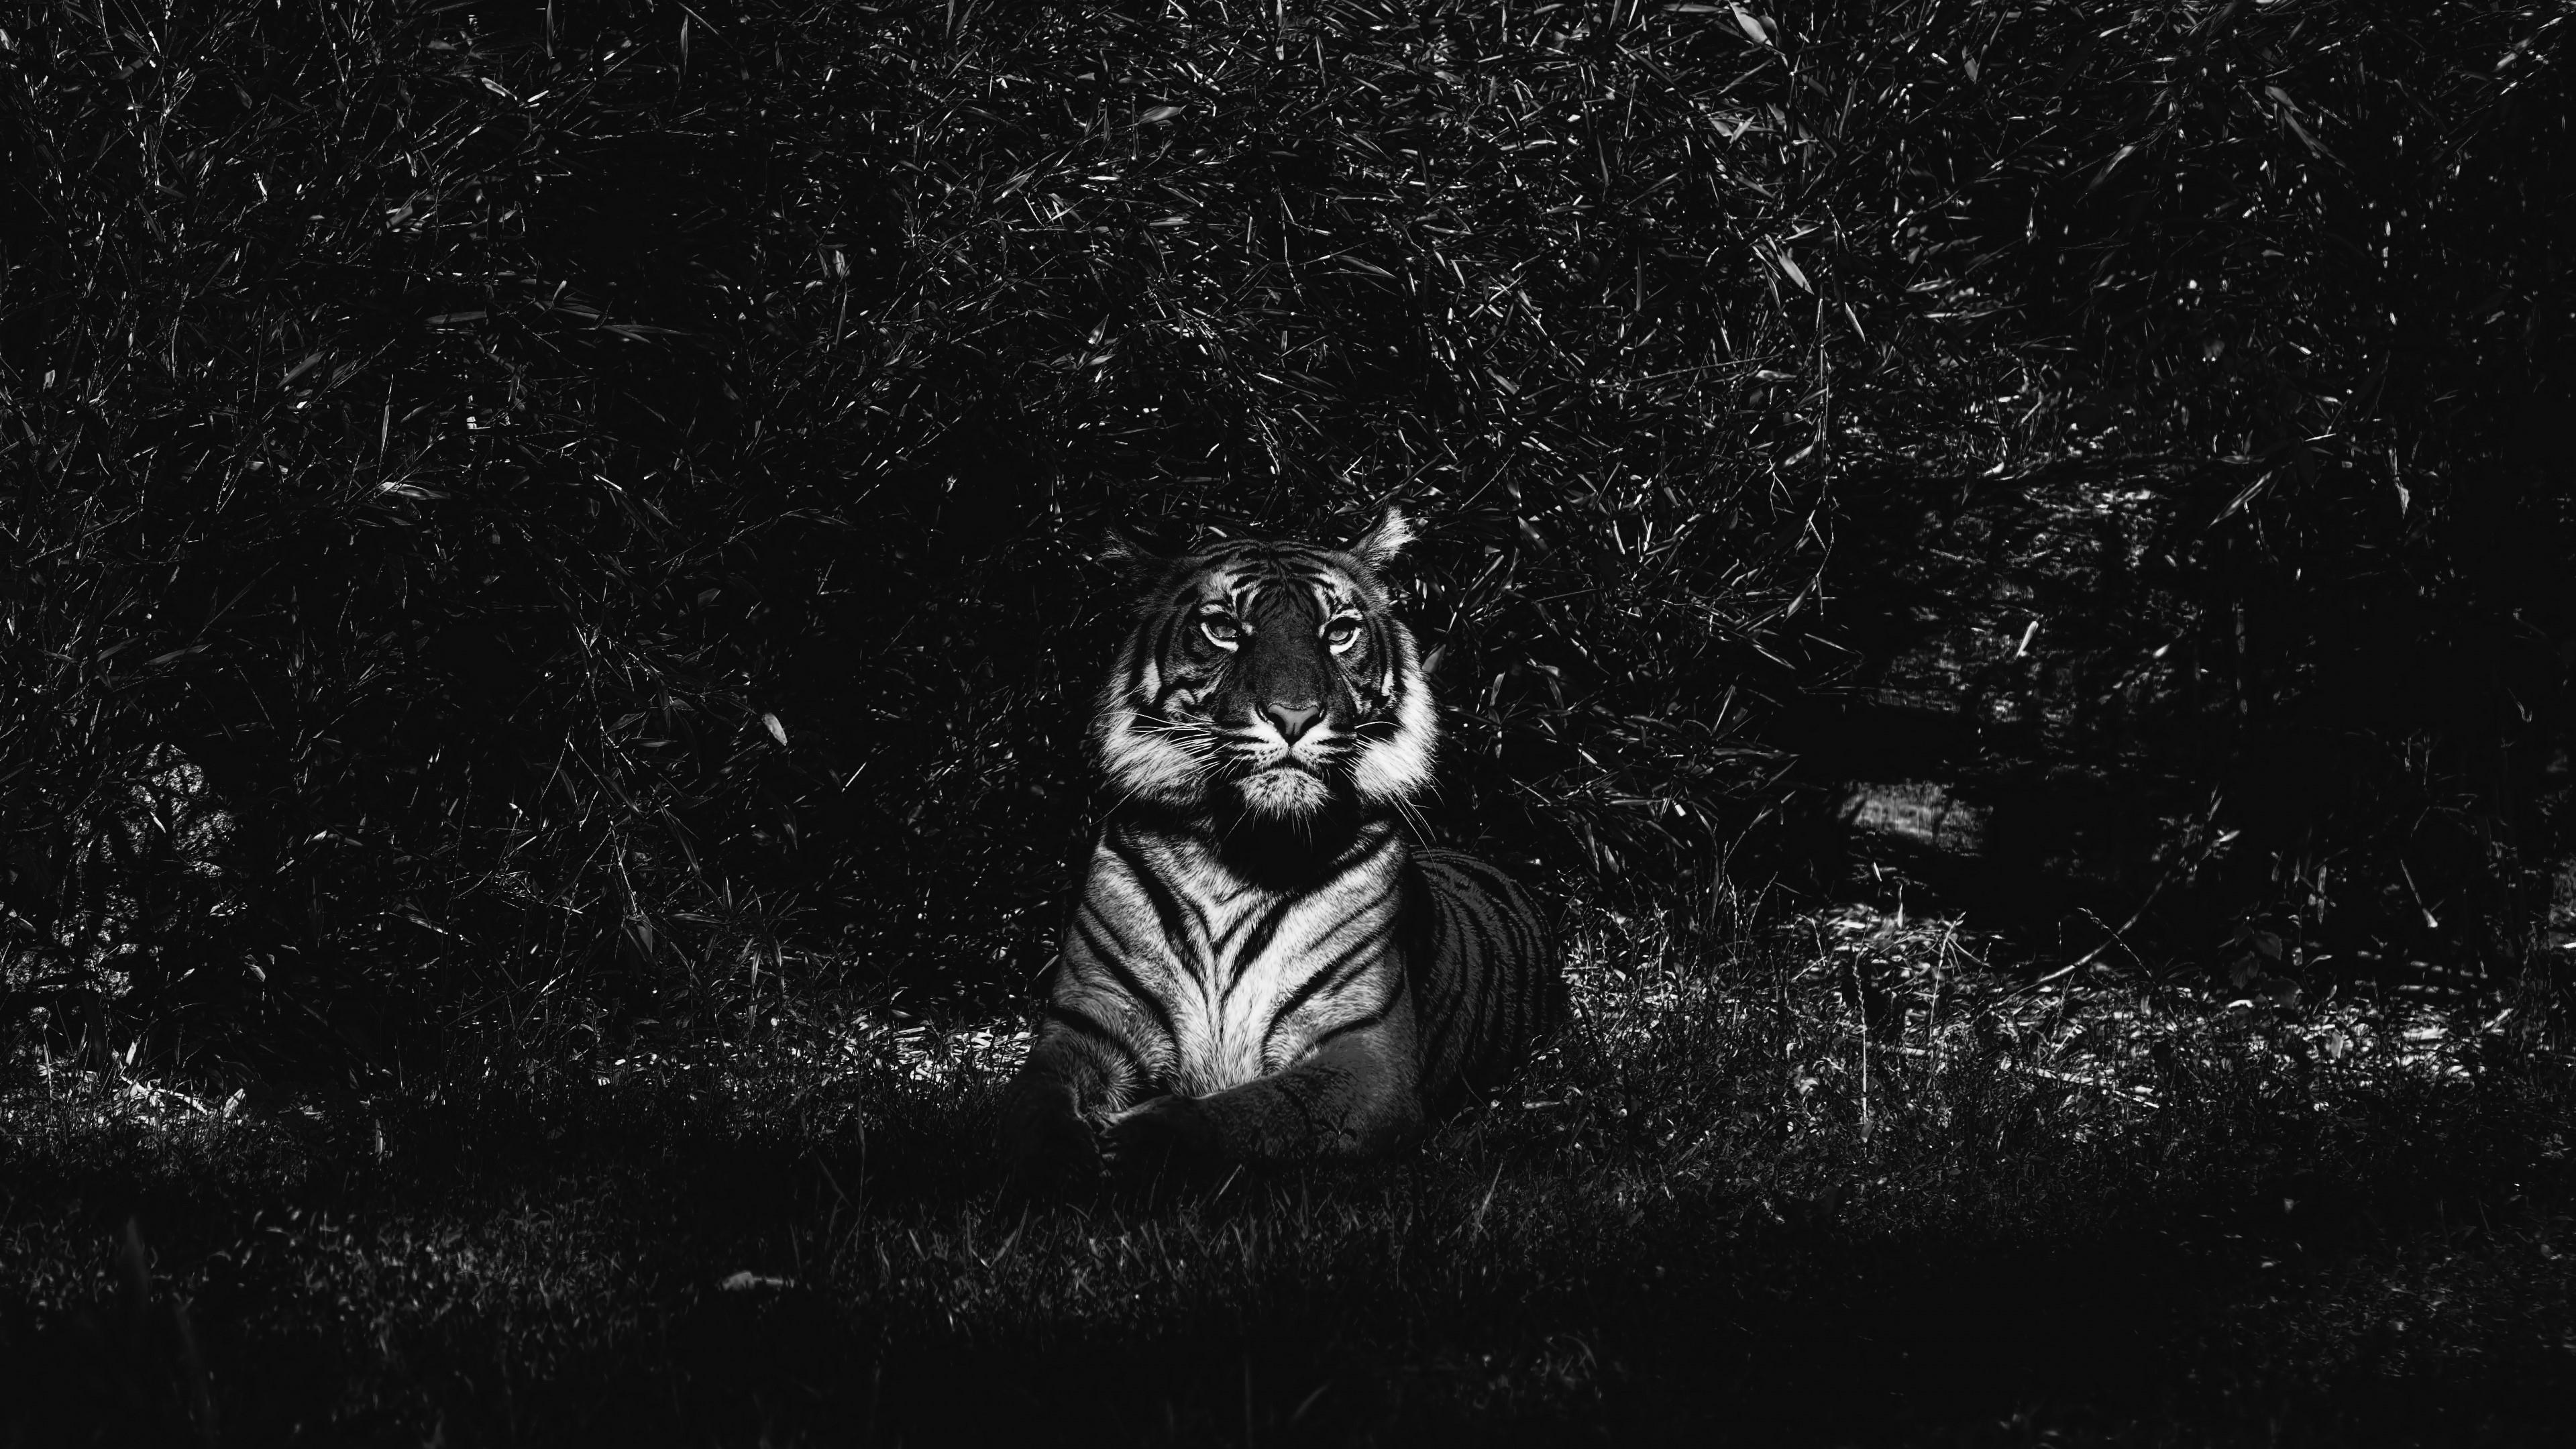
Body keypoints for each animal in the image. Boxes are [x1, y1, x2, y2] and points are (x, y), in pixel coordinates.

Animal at [1000, 507, 1564, 1188]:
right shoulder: (1085, 1026)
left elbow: (1255, 1114)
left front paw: (1141, 1141)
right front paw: (1060, 1162)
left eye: (1339, 633)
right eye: (1223, 629)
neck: (1236, 854)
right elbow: (1031, 1105)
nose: (1294, 716)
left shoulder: (1364, 1058)